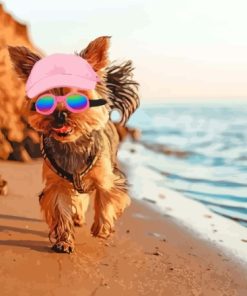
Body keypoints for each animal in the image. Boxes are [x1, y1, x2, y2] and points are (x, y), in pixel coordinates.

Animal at [8, 35, 139, 253]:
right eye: (45, 99)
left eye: (77, 98)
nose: (60, 114)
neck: (73, 145)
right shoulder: (57, 184)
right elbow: (61, 209)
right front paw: (64, 240)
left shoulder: (106, 176)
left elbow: (106, 198)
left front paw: (101, 228)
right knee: (79, 198)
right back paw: (77, 216)